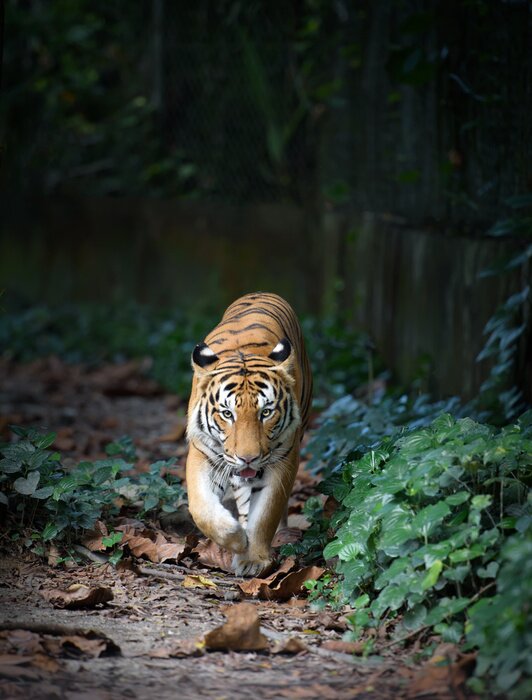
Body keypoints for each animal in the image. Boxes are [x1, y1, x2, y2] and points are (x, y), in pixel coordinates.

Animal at [185, 292, 312, 577]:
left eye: (266, 412)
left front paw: (253, 558)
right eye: (227, 413)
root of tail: (263, 292)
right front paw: (235, 538)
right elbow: (201, 508)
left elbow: (266, 513)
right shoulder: (202, 452)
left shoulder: (284, 459)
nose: (248, 458)